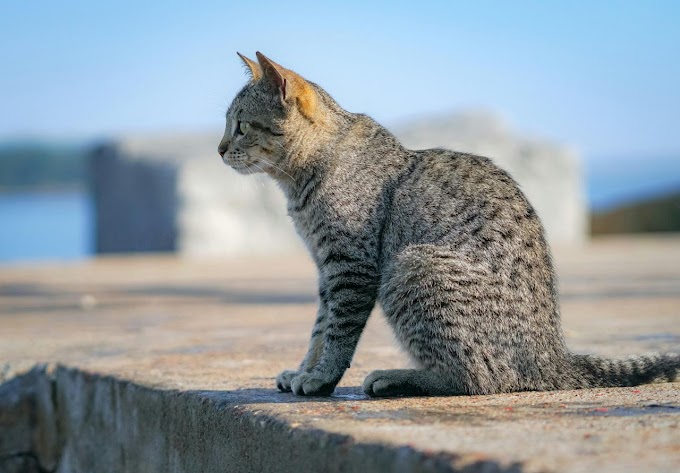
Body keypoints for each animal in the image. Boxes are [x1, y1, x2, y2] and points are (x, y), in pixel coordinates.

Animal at [219, 51, 680, 396]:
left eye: (240, 125)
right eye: (228, 125)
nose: (219, 148)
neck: (302, 179)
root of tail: (552, 357)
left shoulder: (350, 268)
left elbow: (337, 332)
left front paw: (319, 379)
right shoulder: (326, 272)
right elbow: (319, 328)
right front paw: (304, 370)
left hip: (412, 265)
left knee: (481, 378)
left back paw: (397, 379)